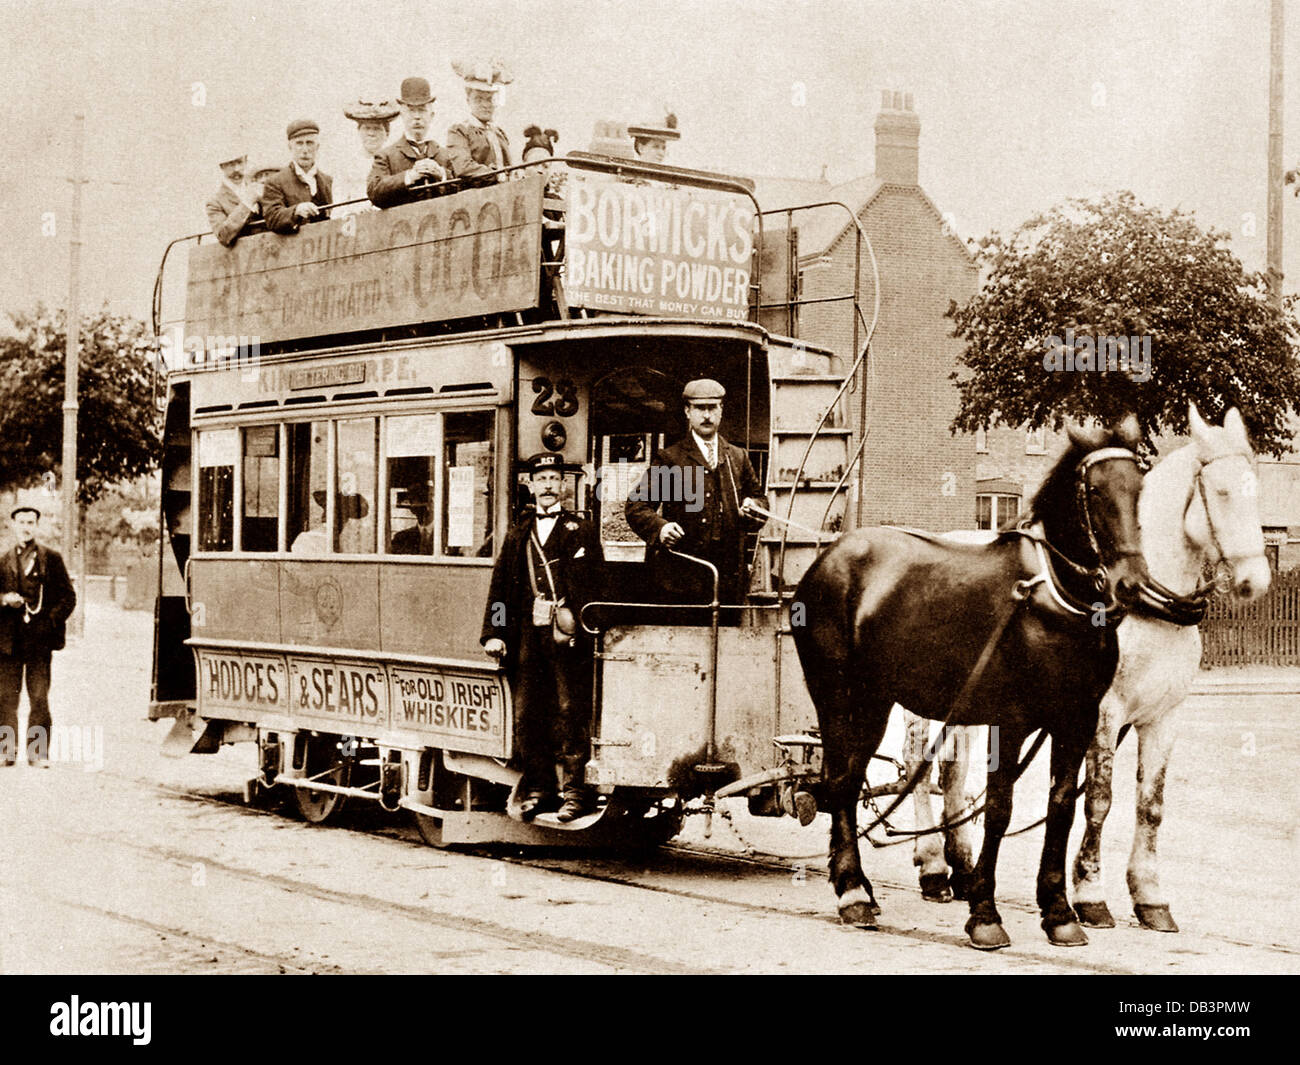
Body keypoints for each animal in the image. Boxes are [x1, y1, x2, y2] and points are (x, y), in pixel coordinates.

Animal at [790, 421, 1149, 951]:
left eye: (1139, 489)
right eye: (1096, 492)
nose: (1129, 584)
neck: (1055, 598)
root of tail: (830, 557)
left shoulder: (1076, 720)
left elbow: (1061, 807)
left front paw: (1058, 912)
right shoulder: (1012, 722)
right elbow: (999, 810)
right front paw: (984, 912)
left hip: (875, 700)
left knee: (850, 782)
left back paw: (857, 888)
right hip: (835, 694)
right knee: (838, 782)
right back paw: (852, 893)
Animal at [904, 403, 1268, 920]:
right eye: (1220, 491)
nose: (1257, 579)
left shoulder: (1163, 717)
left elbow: (1151, 805)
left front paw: (1149, 894)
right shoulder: (1102, 712)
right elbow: (1099, 799)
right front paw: (1090, 893)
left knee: (952, 772)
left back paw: (961, 863)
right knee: (918, 764)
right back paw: (934, 864)